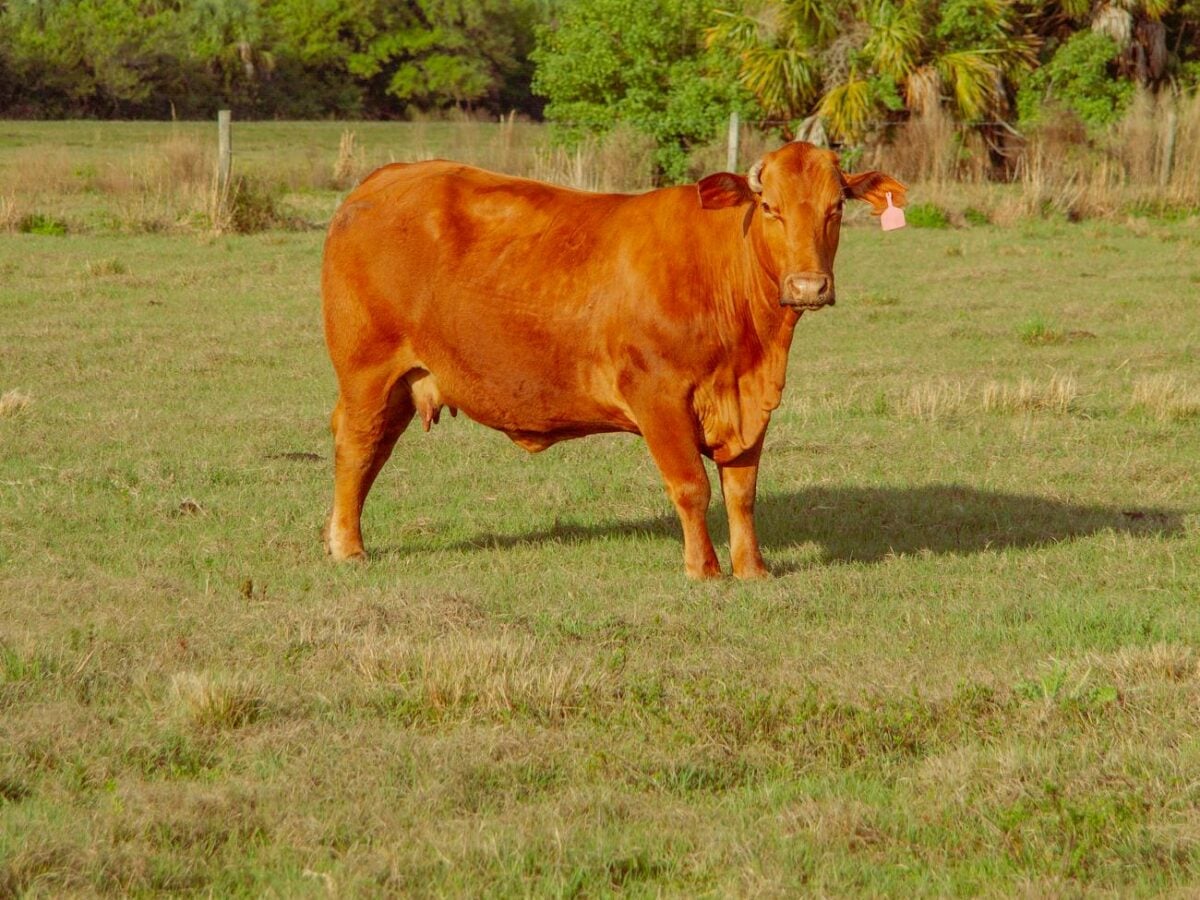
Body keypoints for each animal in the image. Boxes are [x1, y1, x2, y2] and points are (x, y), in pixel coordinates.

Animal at [321, 141, 905, 578]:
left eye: (835, 208)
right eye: (769, 208)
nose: (808, 285)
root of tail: (386, 177)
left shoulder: (747, 404)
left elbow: (741, 493)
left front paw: (752, 569)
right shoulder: (659, 396)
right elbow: (692, 486)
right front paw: (704, 569)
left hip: (403, 381)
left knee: (374, 451)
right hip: (368, 371)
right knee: (356, 446)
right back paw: (348, 547)